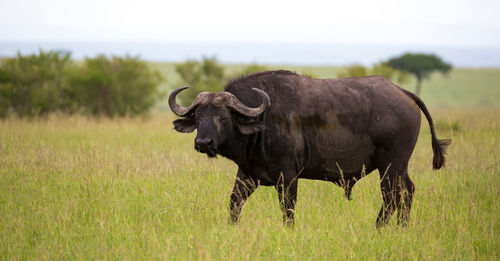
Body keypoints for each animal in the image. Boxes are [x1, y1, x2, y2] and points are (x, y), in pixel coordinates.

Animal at [170, 69, 452, 225]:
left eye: (223, 117)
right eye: (199, 117)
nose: (203, 142)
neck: (263, 119)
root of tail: (403, 93)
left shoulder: (287, 177)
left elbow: (288, 211)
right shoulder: (247, 174)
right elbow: (233, 204)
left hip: (390, 166)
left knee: (392, 196)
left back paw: (379, 228)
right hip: (399, 167)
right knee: (408, 192)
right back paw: (401, 228)